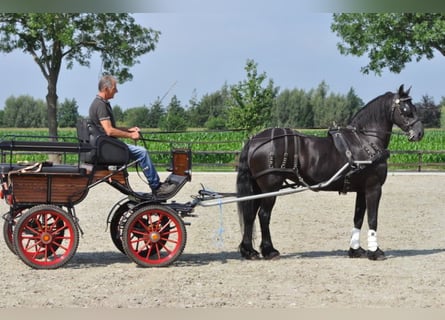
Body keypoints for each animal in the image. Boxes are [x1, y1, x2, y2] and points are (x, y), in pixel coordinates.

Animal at [236, 84, 424, 260]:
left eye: (414, 107)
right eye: (406, 110)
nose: (420, 133)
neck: (365, 140)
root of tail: (255, 139)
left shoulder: (362, 189)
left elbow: (358, 218)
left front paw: (356, 250)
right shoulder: (374, 187)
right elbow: (372, 219)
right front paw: (375, 251)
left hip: (258, 188)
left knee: (250, 215)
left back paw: (249, 251)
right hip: (270, 187)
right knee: (263, 215)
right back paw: (269, 250)